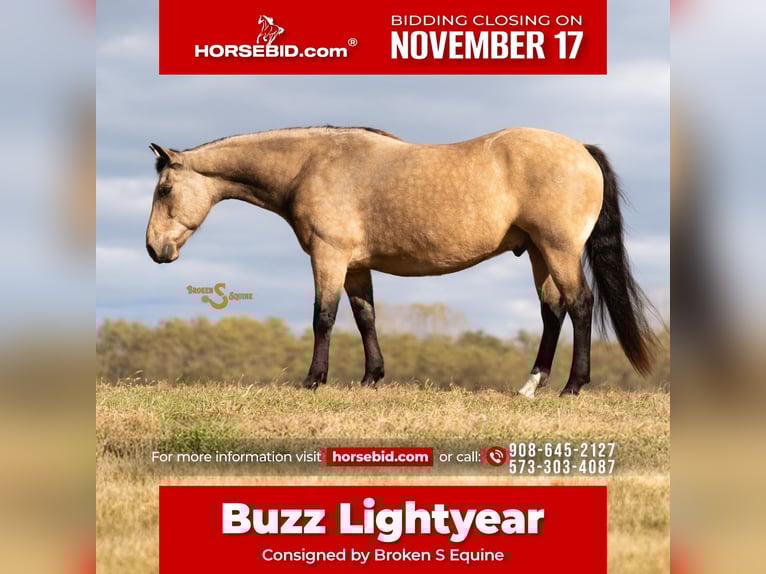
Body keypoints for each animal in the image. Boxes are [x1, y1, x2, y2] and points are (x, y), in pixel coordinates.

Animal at [145, 126, 660, 397]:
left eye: (164, 189)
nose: (154, 250)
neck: (311, 165)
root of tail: (581, 149)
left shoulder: (329, 256)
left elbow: (324, 317)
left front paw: (314, 380)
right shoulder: (355, 265)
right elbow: (365, 317)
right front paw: (371, 378)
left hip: (558, 248)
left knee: (580, 303)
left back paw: (574, 385)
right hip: (537, 251)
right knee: (553, 310)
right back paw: (532, 384)